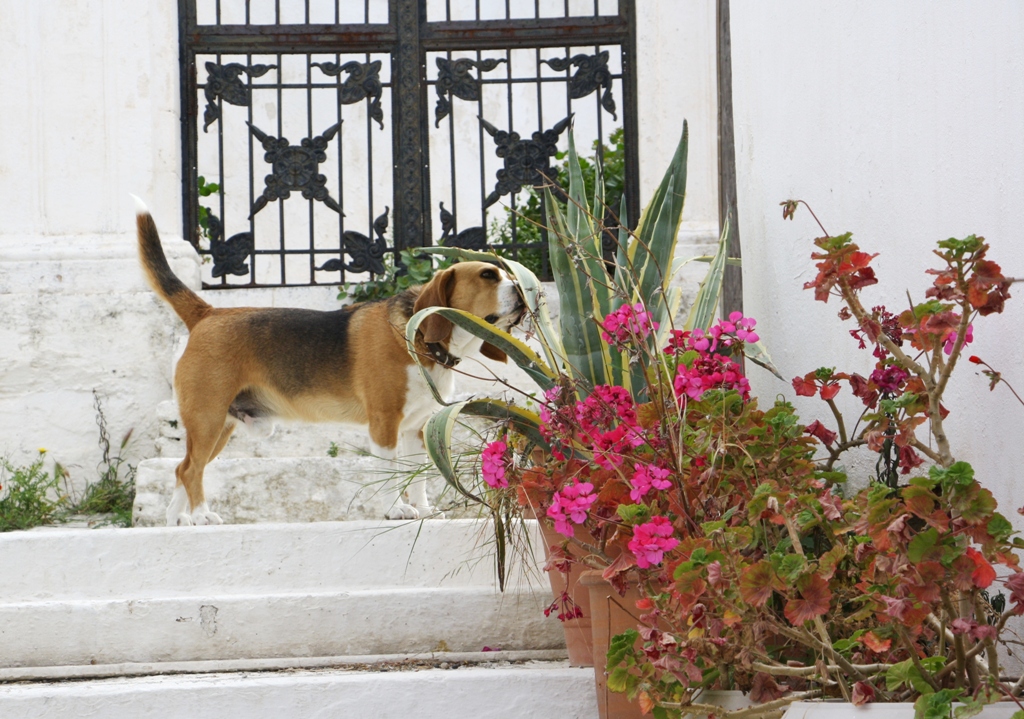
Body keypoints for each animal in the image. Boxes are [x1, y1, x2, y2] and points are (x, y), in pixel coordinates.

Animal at [132, 199, 524, 528]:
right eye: (488, 276)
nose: (523, 289)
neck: (419, 339)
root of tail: (208, 312)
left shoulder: (417, 426)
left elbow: (418, 476)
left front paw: (424, 510)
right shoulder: (385, 422)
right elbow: (389, 470)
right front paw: (395, 509)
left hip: (219, 425)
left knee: (182, 468)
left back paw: (177, 519)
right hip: (208, 418)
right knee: (191, 470)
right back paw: (201, 515)